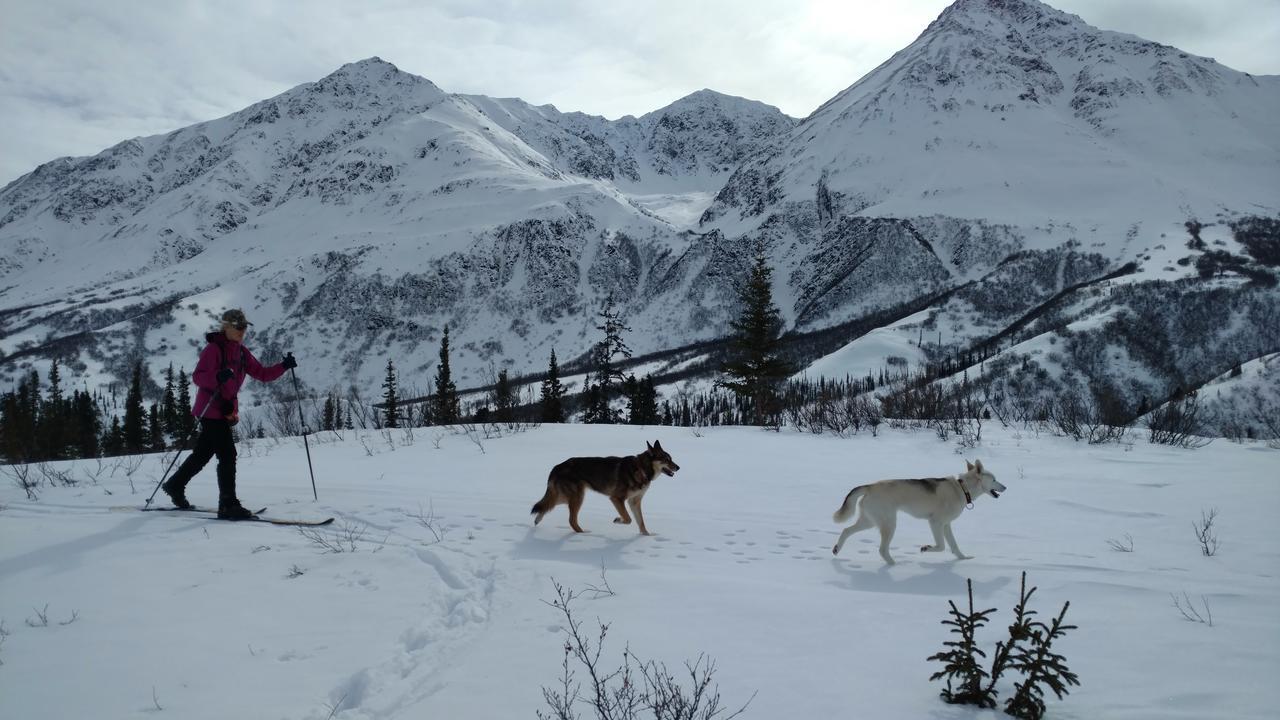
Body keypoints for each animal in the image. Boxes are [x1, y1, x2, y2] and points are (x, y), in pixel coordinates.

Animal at [532, 438, 680, 532]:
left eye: (671, 459)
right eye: (666, 459)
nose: (678, 467)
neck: (642, 469)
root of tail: (556, 467)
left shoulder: (634, 501)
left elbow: (641, 522)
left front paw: (646, 537)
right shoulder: (617, 499)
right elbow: (628, 519)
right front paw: (618, 519)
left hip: (567, 497)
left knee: (546, 505)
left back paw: (537, 519)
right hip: (577, 497)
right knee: (571, 520)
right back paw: (583, 534)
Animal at [834, 456, 1003, 563]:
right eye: (995, 479)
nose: (1005, 487)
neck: (962, 488)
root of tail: (869, 486)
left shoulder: (946, 525)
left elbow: (954, 546)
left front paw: (963, 559)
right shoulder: (935, 522)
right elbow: (941, 546)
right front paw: (926, 548)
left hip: (869, 521)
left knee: (846, 531)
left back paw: (836, 549)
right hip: (889, 525)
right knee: (882, 550)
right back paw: (894, 565)